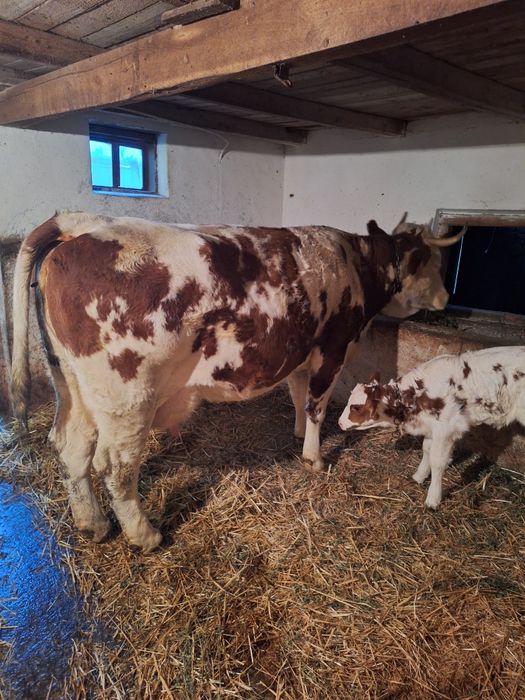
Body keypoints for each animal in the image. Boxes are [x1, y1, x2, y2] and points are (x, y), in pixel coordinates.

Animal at [11, 211, 465, 551]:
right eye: (429, 261)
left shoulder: (300, 350)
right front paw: (314, 457)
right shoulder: (332, 347)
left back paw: (93, 524)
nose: (447, 300)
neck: (356, 266)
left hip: (72, 383)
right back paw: (145, 535)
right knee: (116, 466)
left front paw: (297, 433)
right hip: (127, 395)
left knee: (71, 446)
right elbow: (318, 405)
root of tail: (84, 224)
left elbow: (298, 396)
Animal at [338, 346, 525, 509]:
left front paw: (433, 499)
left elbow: (437, 462)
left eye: (356, 407)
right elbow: (426, 449)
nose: (339, 423)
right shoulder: (431, 427)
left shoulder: (446, 428)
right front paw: (419, 476)